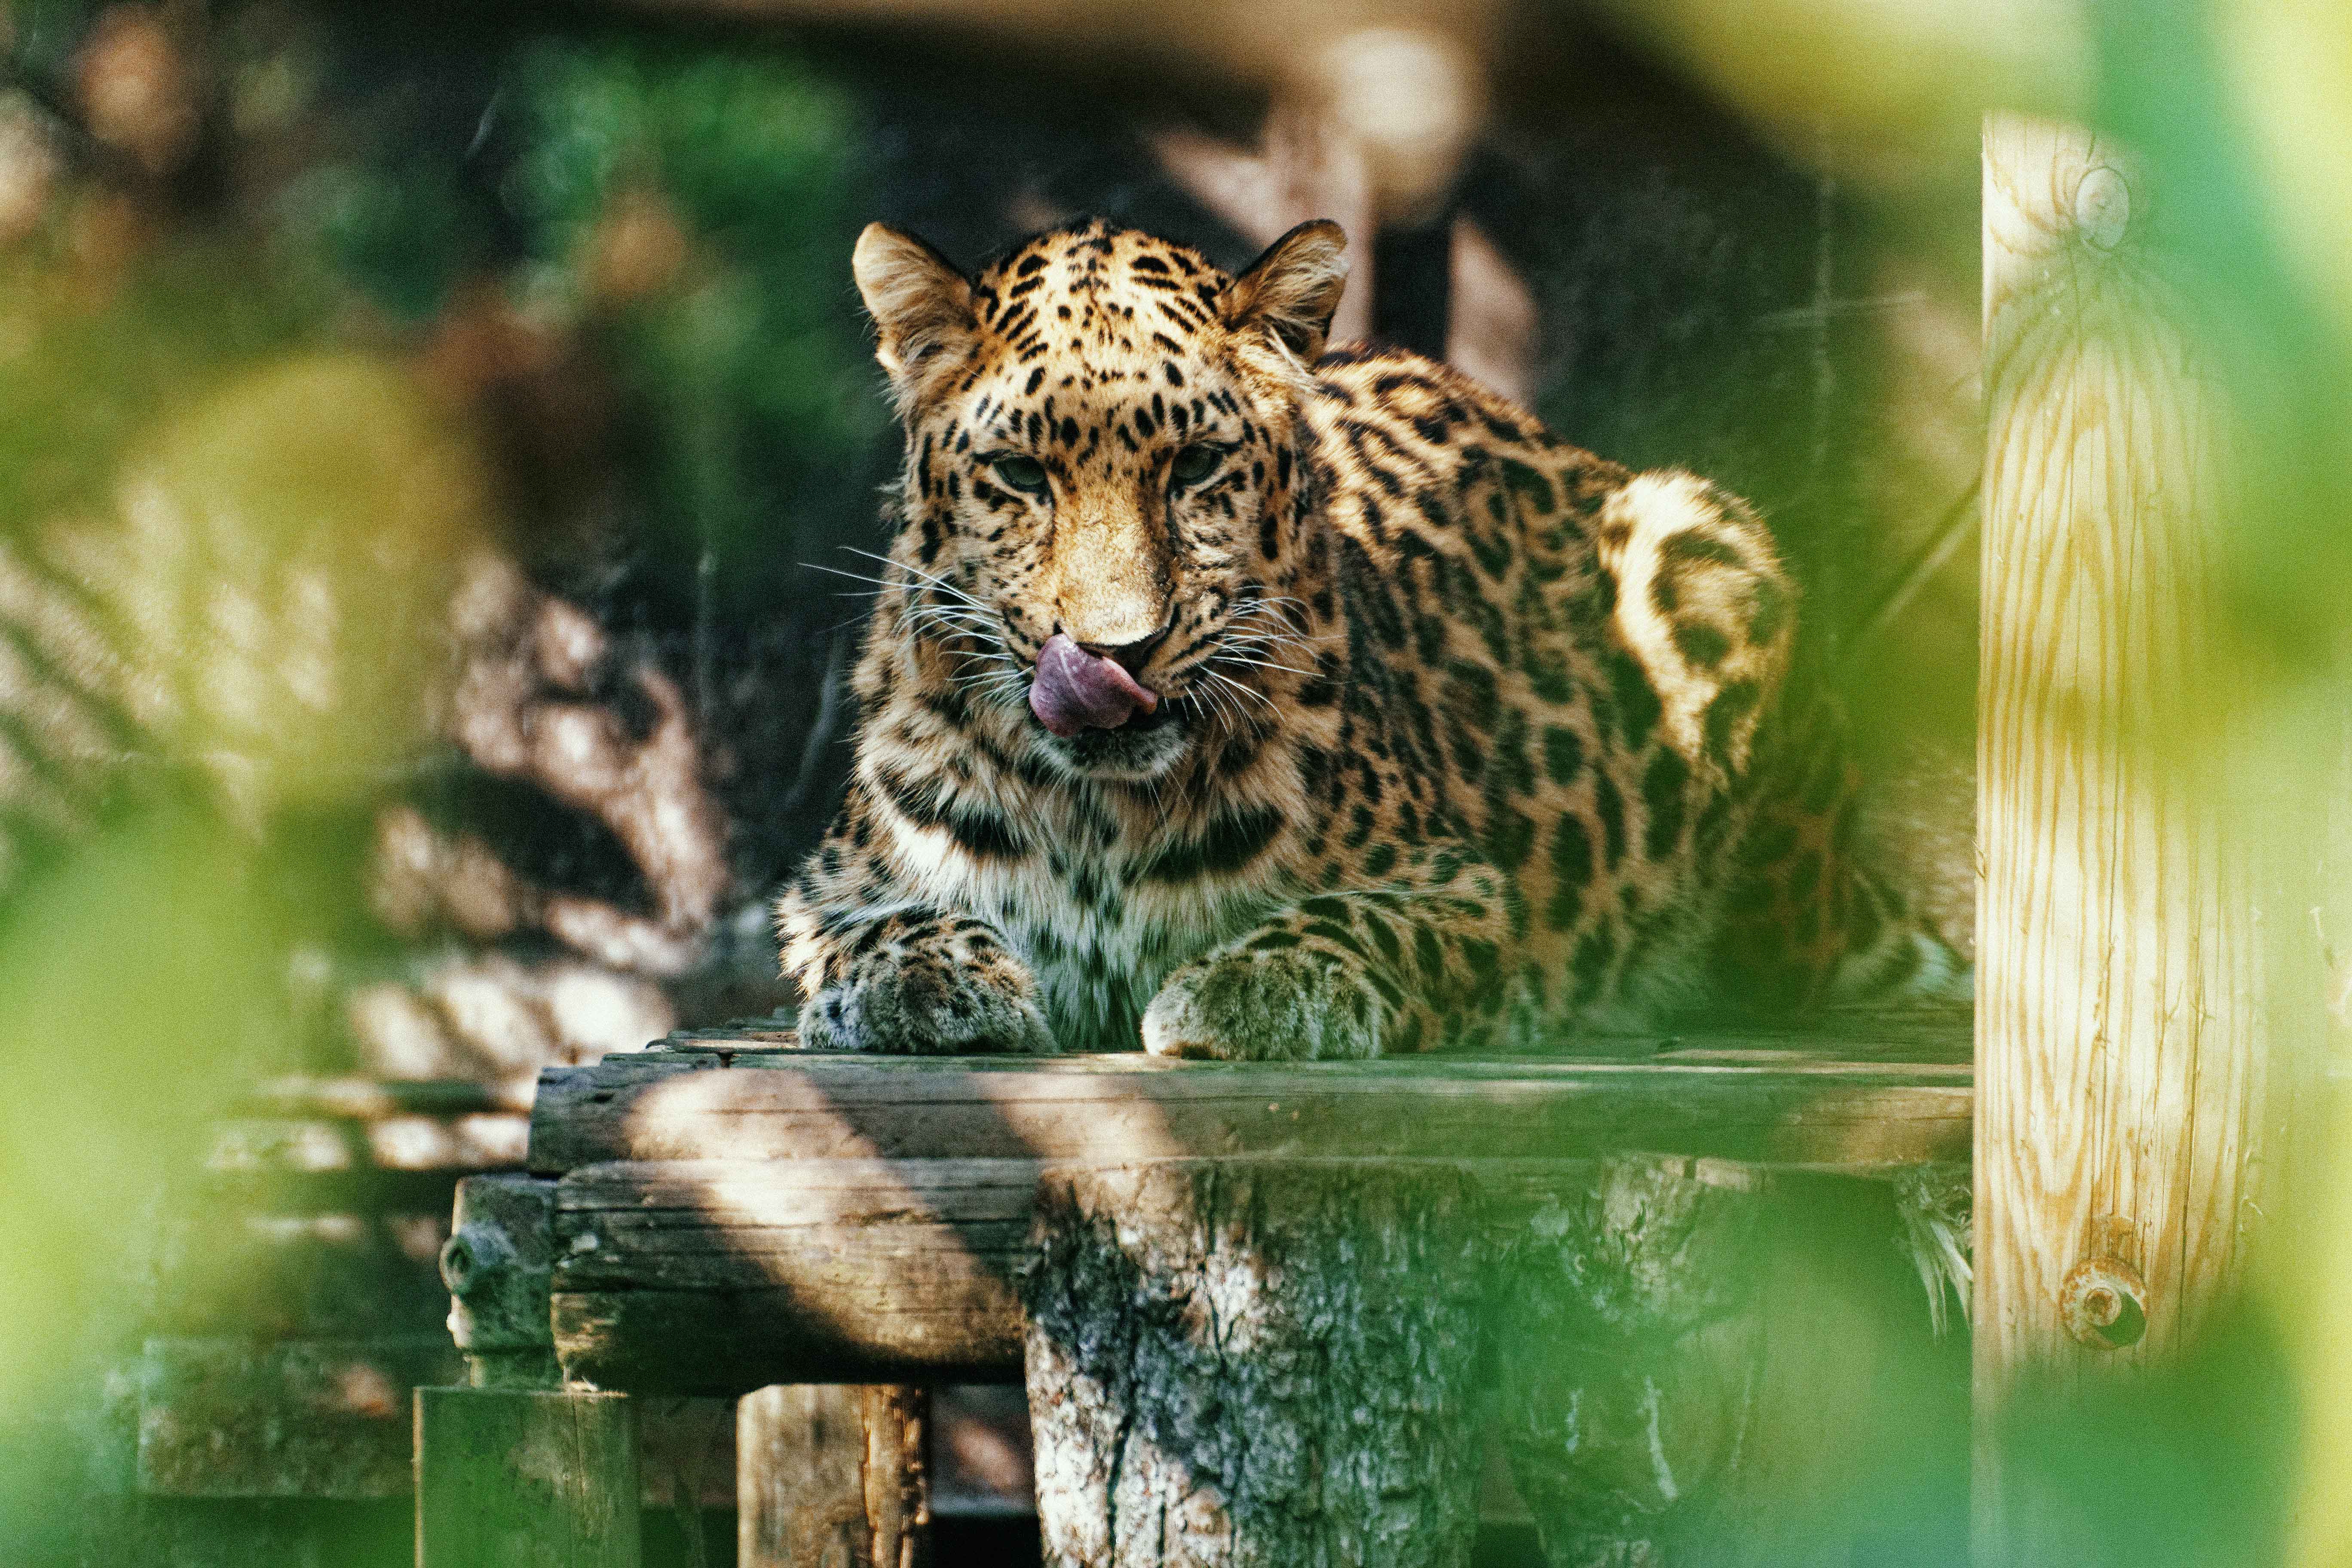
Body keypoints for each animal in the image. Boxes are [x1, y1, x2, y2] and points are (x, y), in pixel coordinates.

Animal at [775, 216, 1964, 1061]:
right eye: (1022, 476)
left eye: (1195, 467)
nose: (1116, 654)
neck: (1098, 817)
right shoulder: (825, 892)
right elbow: (878, 929)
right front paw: (929, 981)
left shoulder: (1466, 892)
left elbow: (1356, 921)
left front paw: (1250, 986)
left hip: (1705, 549)